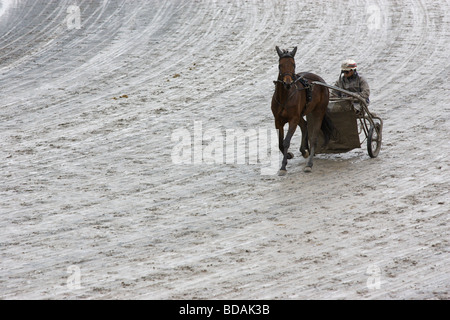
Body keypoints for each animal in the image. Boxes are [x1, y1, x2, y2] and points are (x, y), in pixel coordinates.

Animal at [270, 45, 334, 175]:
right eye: (280, 65)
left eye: (293, 64)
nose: (287, 83)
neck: (285, 96)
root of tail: (321, 81)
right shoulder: (278, 121)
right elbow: (280, 142)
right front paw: (288, 155)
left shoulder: (293, 119)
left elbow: (286, 141)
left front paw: (283, 166)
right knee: (304, 125)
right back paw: (304, 150)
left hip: (318, 111)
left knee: (313, 137)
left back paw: (309, 164)